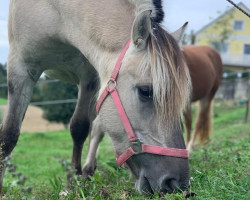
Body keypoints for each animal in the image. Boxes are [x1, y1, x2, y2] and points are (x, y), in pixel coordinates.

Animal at [0, 0, 191, 195]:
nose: (176, 183)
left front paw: (72, 183)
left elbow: (80, 128)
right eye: (145, 91)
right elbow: (9, 135)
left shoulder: (89, 75)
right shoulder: (20, 66)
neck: (59, 14)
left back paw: (87, 170)